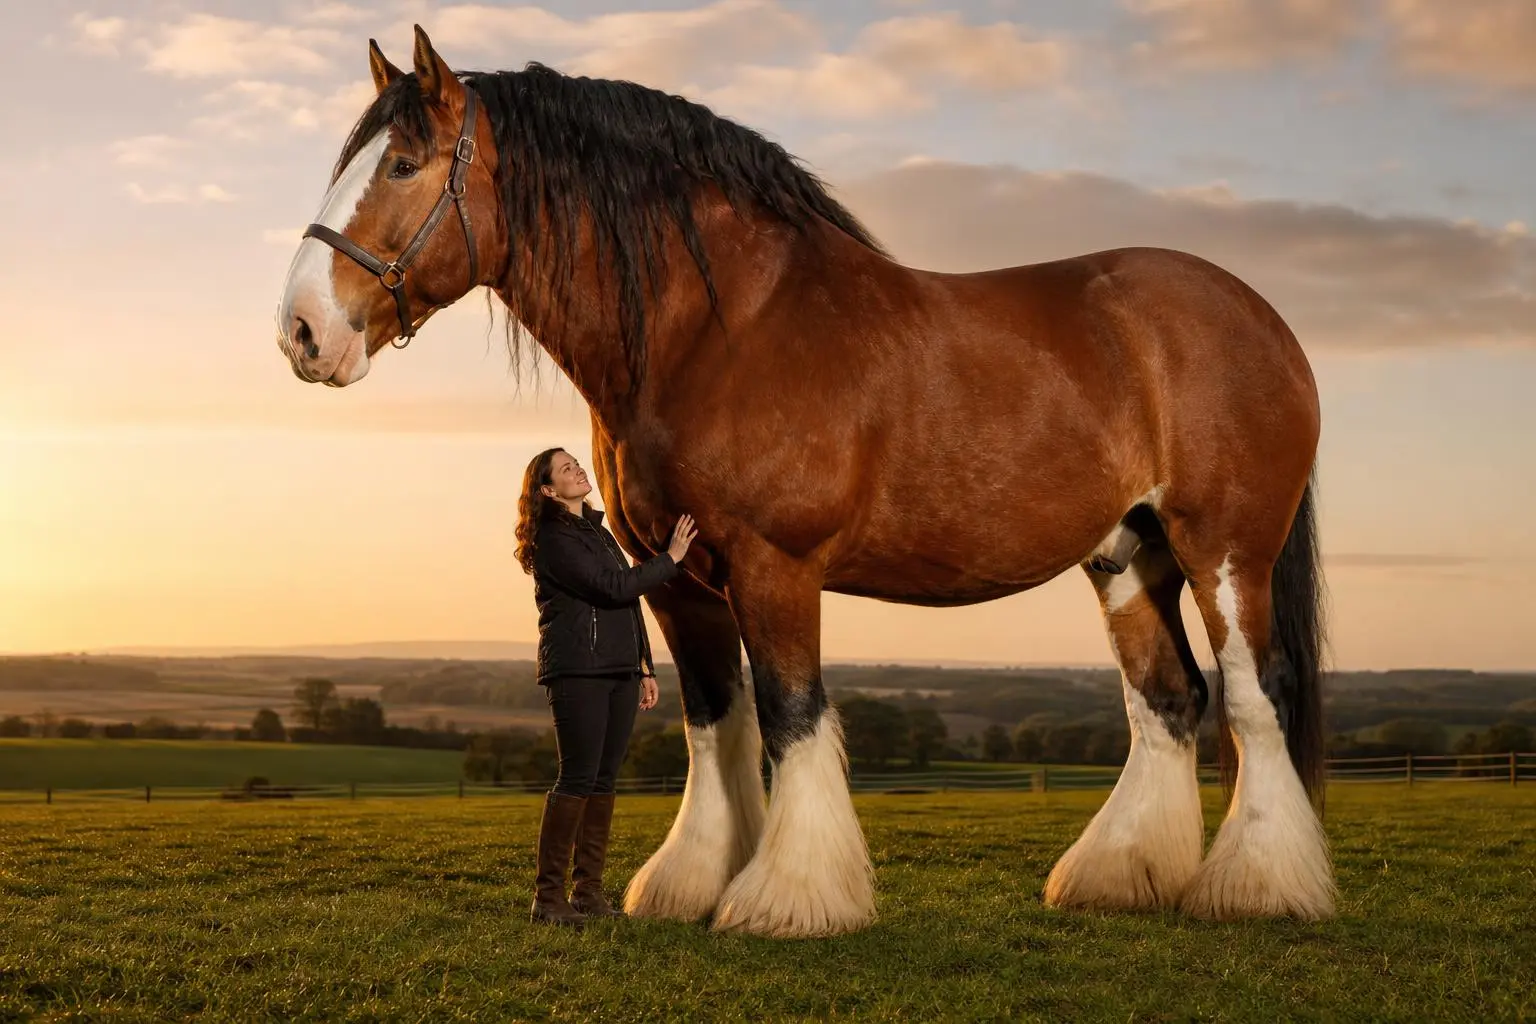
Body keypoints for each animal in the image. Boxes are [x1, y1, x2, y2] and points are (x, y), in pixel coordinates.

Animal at [276, 26, 1334, 939]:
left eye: (402, 166)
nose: (301, 332)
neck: (720, 328)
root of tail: (1261, 317)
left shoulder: (775, 565)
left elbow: (792, 716)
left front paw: (788, 898)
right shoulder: (674, 578)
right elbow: (716, 722)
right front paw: (692, 882)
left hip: (1224, 552)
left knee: (1255, 693)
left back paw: (1259, 887)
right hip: (1126, 556)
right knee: (1167, 700)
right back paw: (1120, 876)